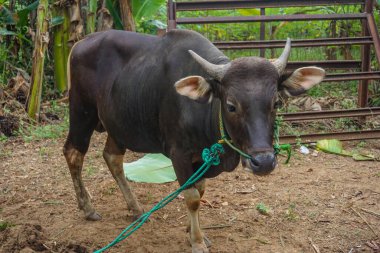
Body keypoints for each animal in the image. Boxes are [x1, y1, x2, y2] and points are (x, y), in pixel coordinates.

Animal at [63, 28, 326, 252]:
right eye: (231, 105)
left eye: (276, 103)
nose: (264, 163)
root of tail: (79, 44)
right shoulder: (178, 154)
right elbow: (191, 198)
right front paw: (197, 242)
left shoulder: (202, 159)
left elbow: (199, 190)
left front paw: (192, 232)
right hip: (81, 112)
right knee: (74, 153)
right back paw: (88, 207)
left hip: (118, 126)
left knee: (112, 157)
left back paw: (135, 208)